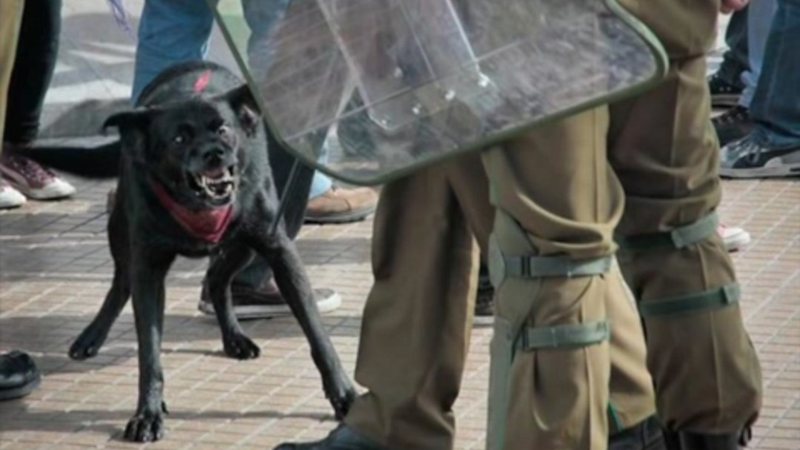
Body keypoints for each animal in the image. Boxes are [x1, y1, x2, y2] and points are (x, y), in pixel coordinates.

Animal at [23, 63, 354, 442]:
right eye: (179, 139)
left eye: (223, 129)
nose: (214, 153)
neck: (197, 206)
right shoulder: (149, 268)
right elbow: (149, 352)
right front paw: (148, 413)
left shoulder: (278, 250)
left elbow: (317, 334)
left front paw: (344, 395)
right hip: (120, 228)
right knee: (123, 281)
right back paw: (92, 335)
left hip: (243, 245)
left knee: (217, 279)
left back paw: (234, 337)